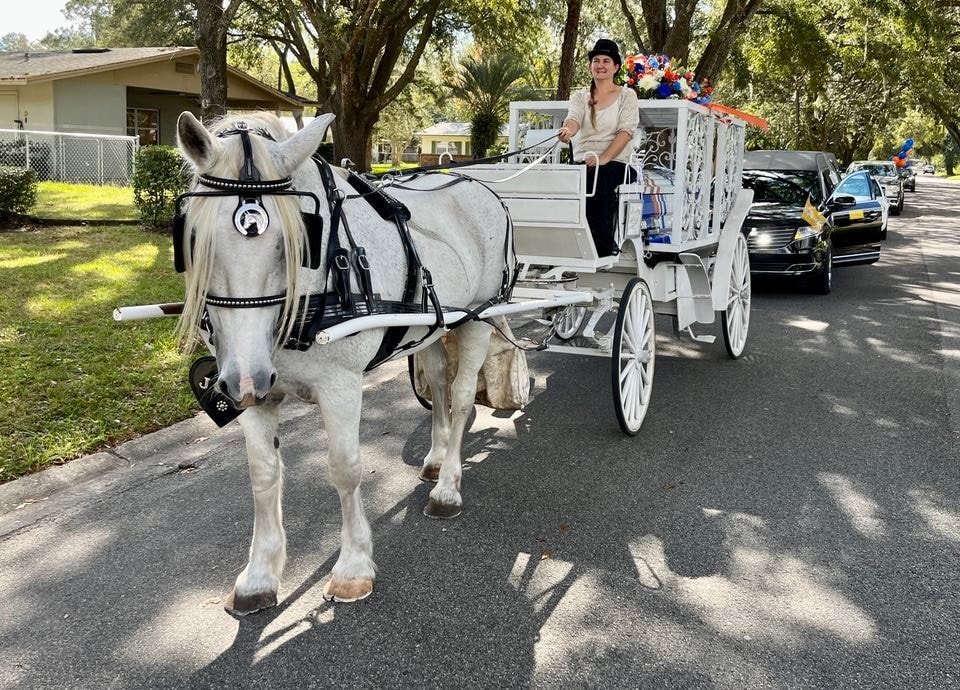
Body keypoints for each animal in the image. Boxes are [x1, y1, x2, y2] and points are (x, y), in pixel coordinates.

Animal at [175, 113, 512, 612]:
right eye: (193, 239)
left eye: (296, 242)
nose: (246, 382)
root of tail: (479, 185)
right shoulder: (254, 389)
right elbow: (262, 474)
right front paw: (259, 575)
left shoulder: (340, 385)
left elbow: (345, 467)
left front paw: (353, 566)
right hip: (431, 324)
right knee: (438, 384)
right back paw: (434, 459)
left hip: (477, 318)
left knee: (464, 396)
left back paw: (448, 486)